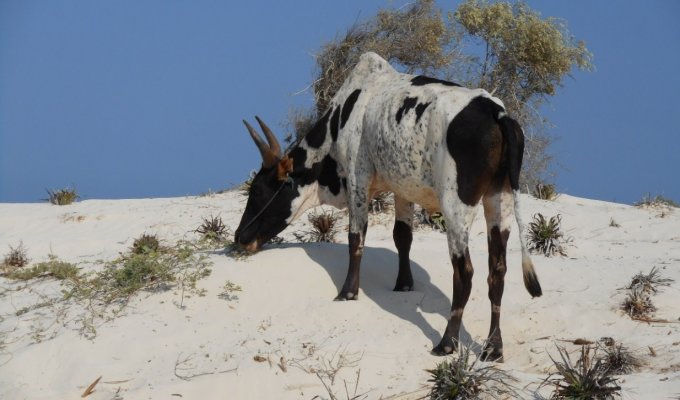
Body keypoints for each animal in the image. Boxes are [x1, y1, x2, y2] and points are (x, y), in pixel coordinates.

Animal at [234, 52, 542, 361]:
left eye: (257, 190)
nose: (239, 237)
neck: (342, 116)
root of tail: (496, 112)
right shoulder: (402, 188)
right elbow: (402, 236)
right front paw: (403, 284)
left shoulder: (357, 180)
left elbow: (355, 239)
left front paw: (348, 292)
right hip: (499, 201)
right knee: (497, 272)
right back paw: (493, 346)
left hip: (456, 207)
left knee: (464, 273)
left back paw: (447, 342)